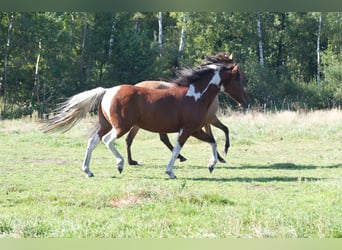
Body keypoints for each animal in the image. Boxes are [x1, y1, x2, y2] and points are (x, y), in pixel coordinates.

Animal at [43, 62, 243, 180]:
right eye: (239, 79)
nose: (245, 100)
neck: (195, 95)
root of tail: (107, 91)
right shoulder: (187, 129)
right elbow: (178, 148)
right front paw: (171, 171)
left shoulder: (194, 129)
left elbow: (212, 141)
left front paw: (212, 165)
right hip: (121, 126)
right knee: (108, 140)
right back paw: (120, 164)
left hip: (106, 125)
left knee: (92, 141)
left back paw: (88, 170)